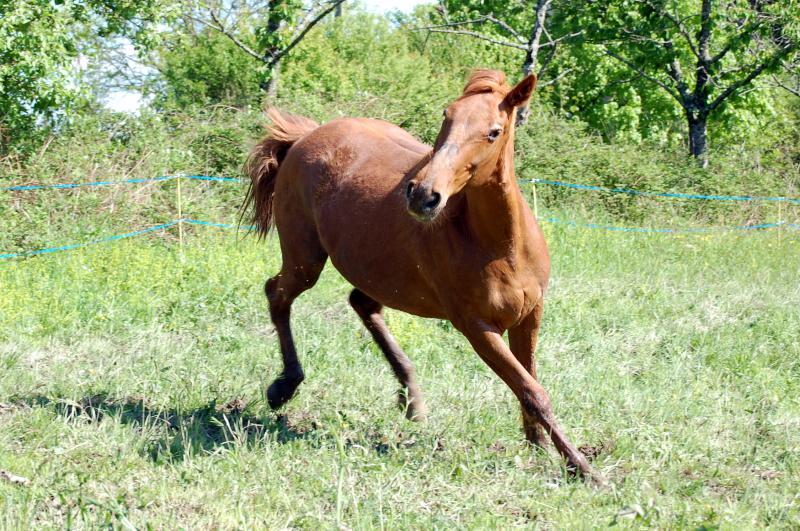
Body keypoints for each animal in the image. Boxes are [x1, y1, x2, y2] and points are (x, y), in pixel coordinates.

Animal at [244, 69, 600, 482]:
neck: (502, 247)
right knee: (277, 293)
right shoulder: (477, 327)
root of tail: (306, 135)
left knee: (361, 304)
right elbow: (532, 390)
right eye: (447, 116)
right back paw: (285, 386)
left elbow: (530, 383)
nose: (422, 195)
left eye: (494, 131)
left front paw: (541, 447)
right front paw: (584, 468)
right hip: (306, 261)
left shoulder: (529, 315)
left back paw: (411, 397)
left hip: (378, 273)